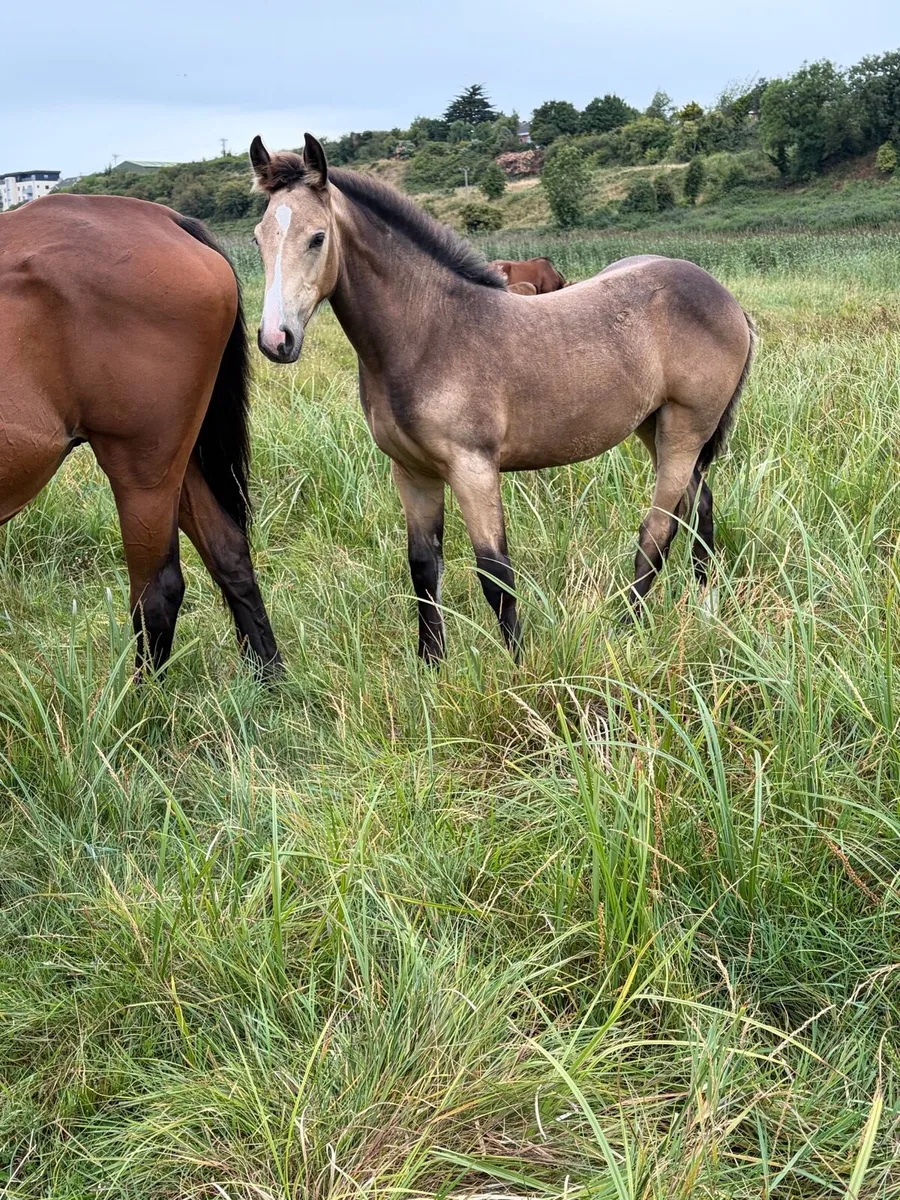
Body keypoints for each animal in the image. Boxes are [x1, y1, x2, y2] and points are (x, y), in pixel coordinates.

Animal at [0, 193, 281, 679]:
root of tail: (162, 218)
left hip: (141, 468)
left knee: (158, 591)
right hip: (175, 462)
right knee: (229, 553)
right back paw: (270, 679)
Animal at [250, 134, 756, 663]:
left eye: (317, 238)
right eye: (259, 240)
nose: (276, 339)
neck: (428, 334)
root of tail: (728, 301)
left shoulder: (472, 467)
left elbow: (495, 573)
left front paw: (520, 667)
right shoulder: (412, 472)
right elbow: (423, 568)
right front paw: (432, 666)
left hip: (685, 428)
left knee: (660, 528)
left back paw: (626, 628)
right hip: (654, 427)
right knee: (700, 509)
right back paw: (705, 608)